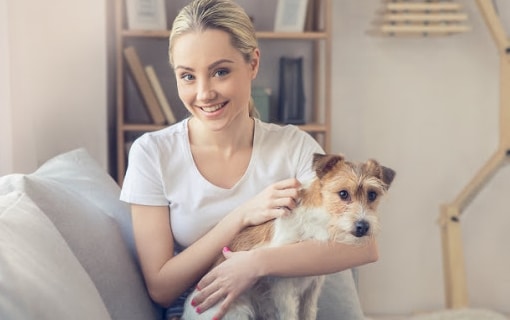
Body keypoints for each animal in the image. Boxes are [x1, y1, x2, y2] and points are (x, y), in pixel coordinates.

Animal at [181, 154, 396, 318]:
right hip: (237, 312)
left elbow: (308, 313)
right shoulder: (283, 289)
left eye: (372, 195)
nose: (363, 226)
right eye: (343, 193)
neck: (318, 222)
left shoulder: (312, 289)